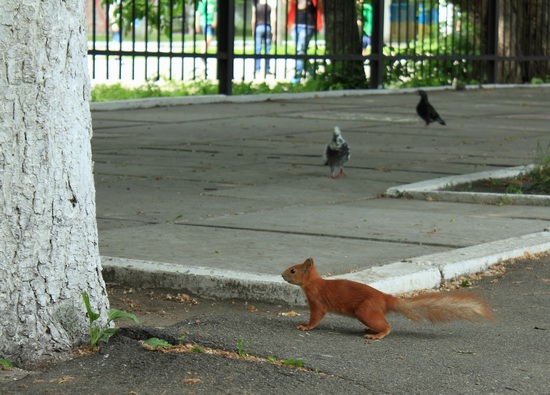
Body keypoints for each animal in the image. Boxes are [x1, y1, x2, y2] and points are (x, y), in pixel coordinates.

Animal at [284, 258, 496, 338]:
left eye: (293, 270)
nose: (282, 274)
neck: (314, 282)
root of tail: (386, 299)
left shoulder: (317, 300)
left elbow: (316, 316)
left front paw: (305, 326)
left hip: (365, 310)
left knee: (387, 326)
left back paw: (376, 335)